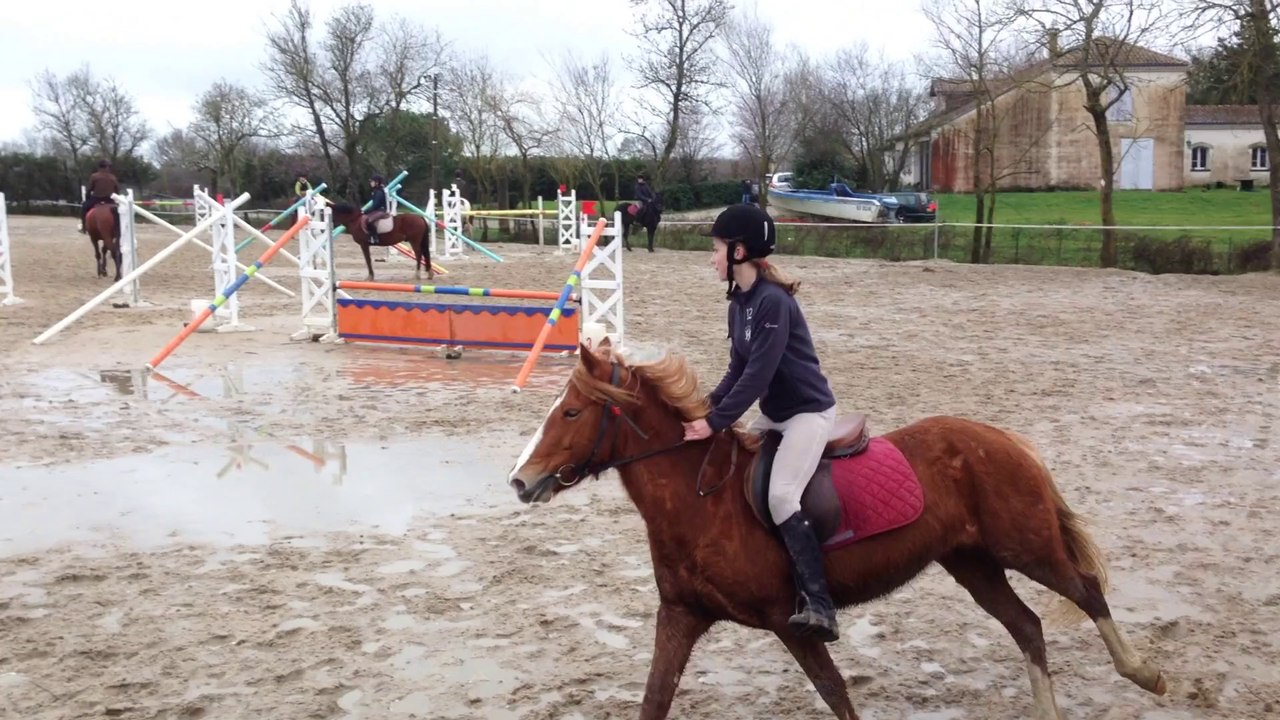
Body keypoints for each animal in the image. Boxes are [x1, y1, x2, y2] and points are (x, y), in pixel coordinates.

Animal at [507, 343, 1167, 720]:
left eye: (571, 412)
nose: (520, 480)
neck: (701, 501)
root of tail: (1001, 438)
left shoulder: (791, 624)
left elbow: (836, 695)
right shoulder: (680, 617)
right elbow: (654, 700)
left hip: (1024, 547)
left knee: (1086, 591)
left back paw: (1145, 674)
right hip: (974, 563)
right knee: (1027, 626)